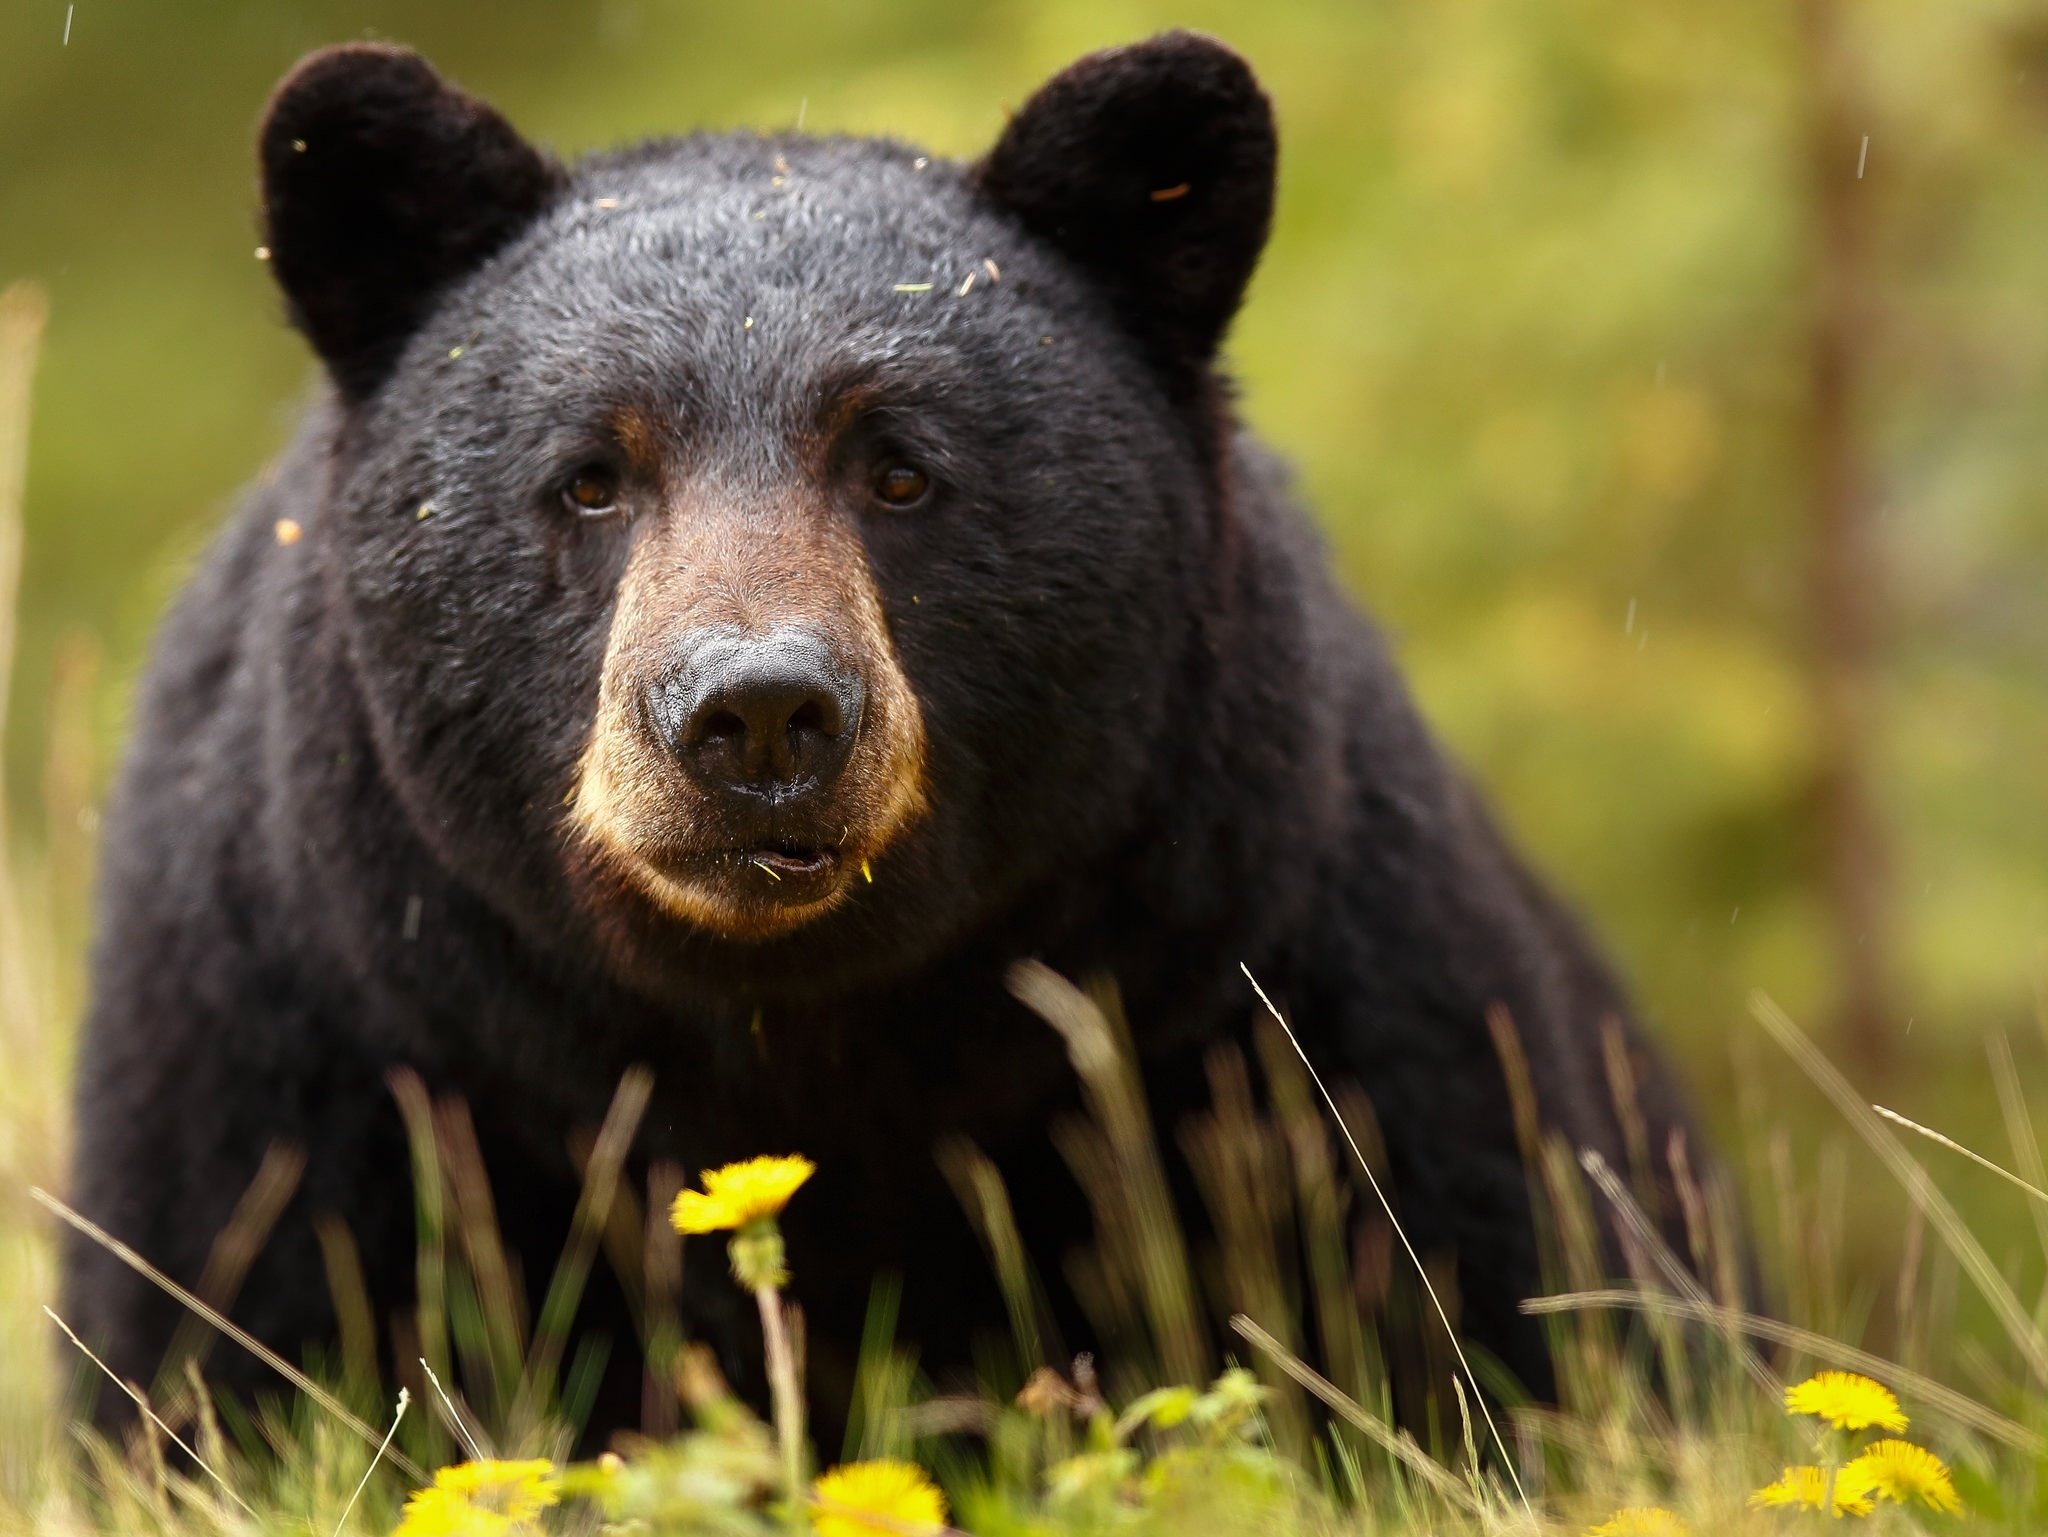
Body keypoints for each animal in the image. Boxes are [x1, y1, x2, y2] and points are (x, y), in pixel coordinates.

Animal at [64, 33, 1728, 1442]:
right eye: (591, 475)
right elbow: (223, 1341)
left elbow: (1494, 1300)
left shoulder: (1298, 1000)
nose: (756, 714)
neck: (798, 1044)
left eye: (901, 467)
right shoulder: (300, 1046)